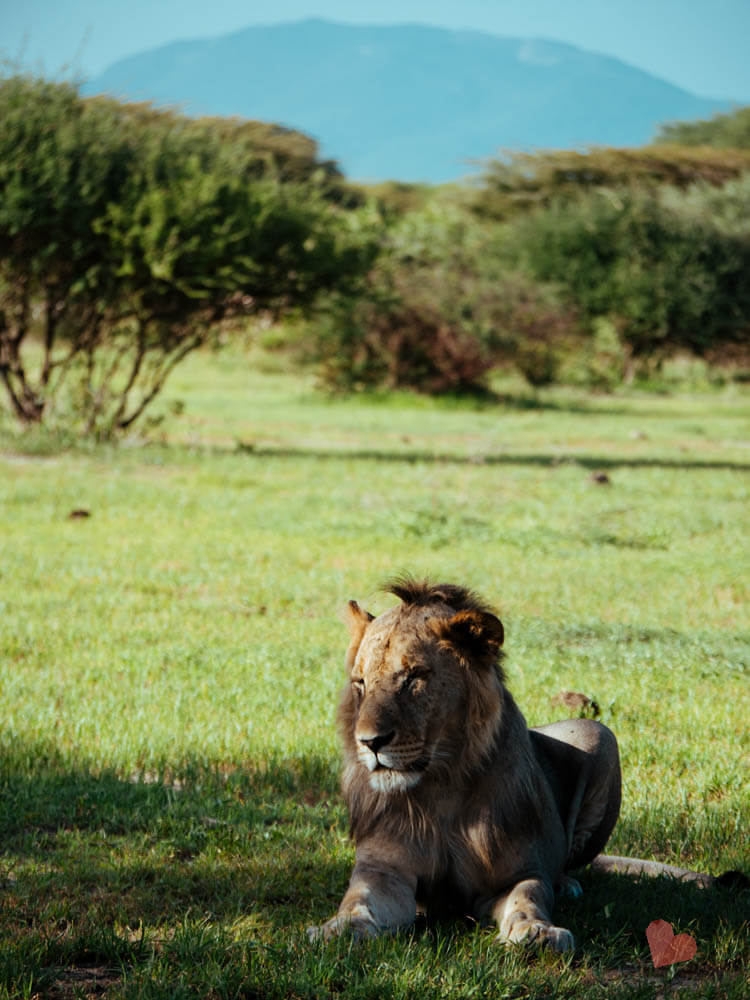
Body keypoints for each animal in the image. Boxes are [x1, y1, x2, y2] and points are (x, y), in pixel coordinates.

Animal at [306, 576, 748, 948]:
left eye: (414, 677)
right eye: (360, 683)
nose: (369, 742)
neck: (441, 788)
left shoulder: (516, 873)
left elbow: (529, 895)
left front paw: (538, 931)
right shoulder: (384, 871)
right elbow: (359, 901)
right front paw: (337, 928)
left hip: (598, 734)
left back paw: (567, 884)